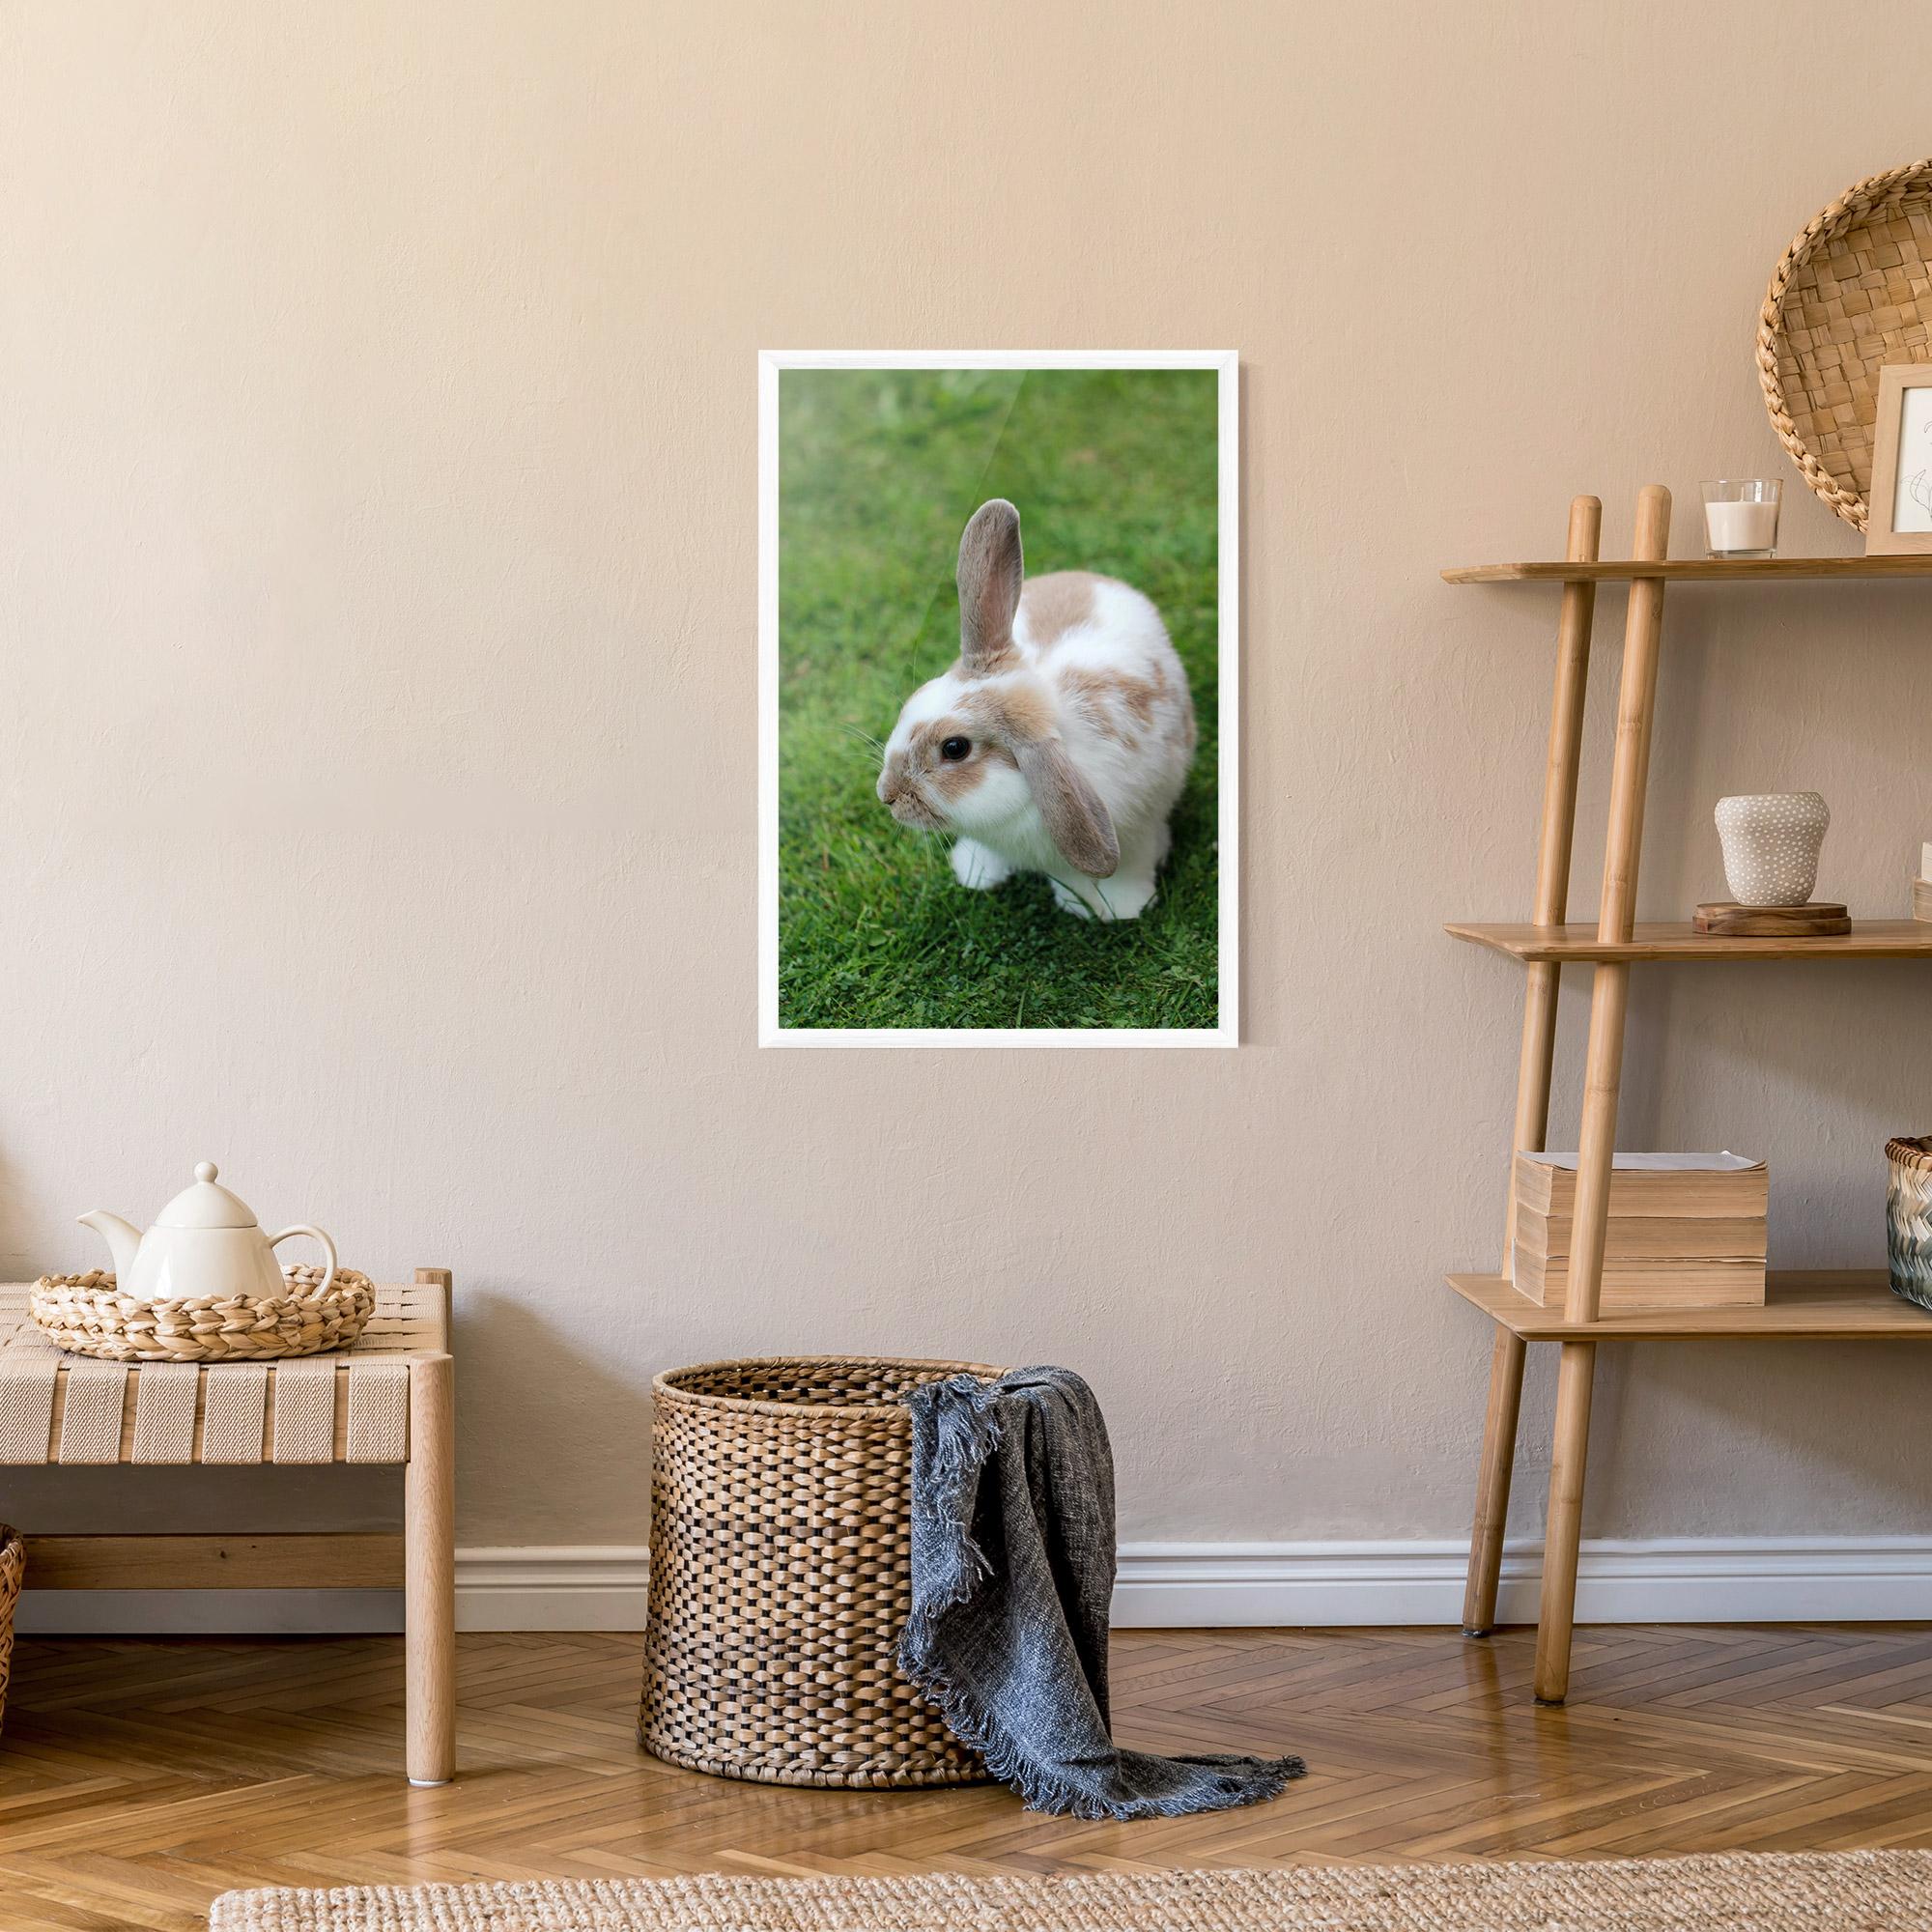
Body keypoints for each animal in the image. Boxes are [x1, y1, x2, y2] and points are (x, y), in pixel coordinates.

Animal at [876, 499, 1196, 920]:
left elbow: (1127, 870)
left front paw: (1121, 908)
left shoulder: (1135, 832)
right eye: (918, 697)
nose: (887, 795)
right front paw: (975, 873)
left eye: (954, 748)